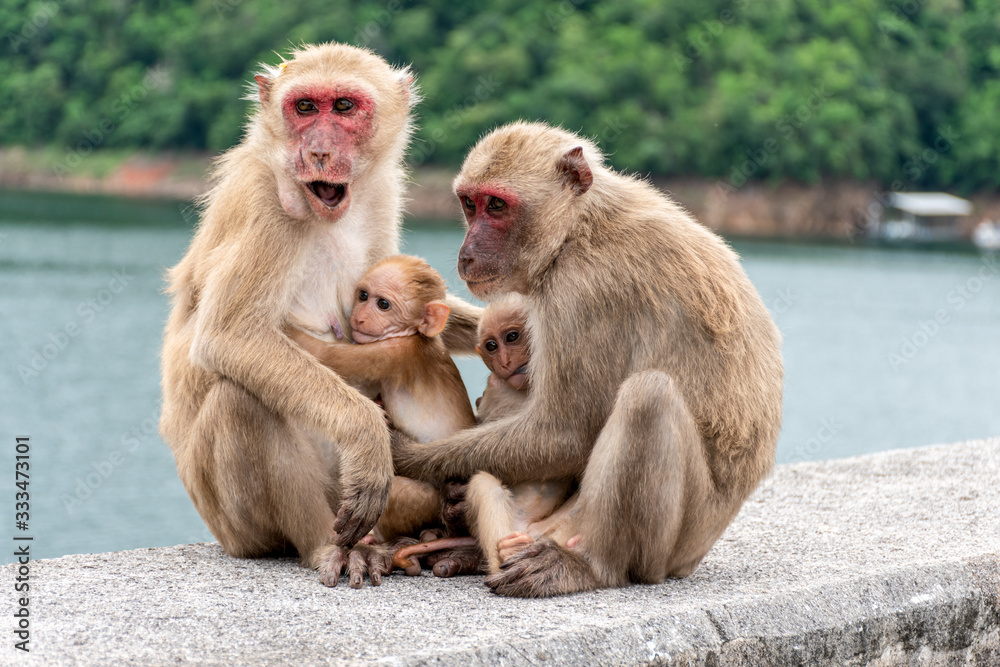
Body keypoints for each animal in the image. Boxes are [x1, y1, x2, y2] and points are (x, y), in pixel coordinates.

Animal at [161, 41, 480, 588]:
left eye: (344, 107)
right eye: (305, 108)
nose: (319, 153)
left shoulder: (382, 190)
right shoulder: (264, 205)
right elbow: (231, 337)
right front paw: (366, 434)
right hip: (237, 524)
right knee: (240, 399)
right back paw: (326, 545)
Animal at [394, 121, 784, 600]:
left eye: (497, 206)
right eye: (470, 203)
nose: (467, 252)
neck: (577, 228)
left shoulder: (581, 291)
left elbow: (564, 434)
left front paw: (401, 453)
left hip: (682, 537)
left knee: (648, 396)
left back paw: (592, 568)